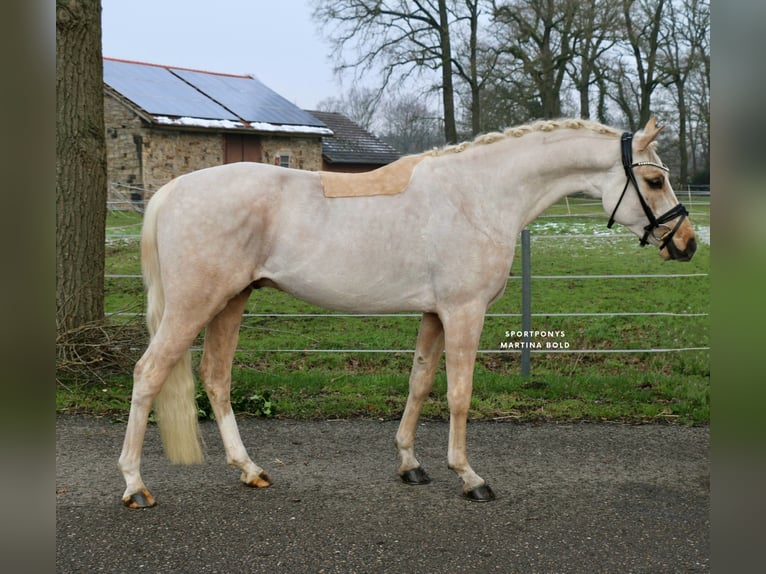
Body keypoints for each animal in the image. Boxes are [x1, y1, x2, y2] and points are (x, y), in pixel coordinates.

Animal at [118, 117, 696, 508]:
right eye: (653, 181)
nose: (687, 243)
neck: (479, 195)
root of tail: (171, 192)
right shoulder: (464, 312)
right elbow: (460, 394)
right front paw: (469, 477)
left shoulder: (434, 315)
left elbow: (419, 383)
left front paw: (411, 464)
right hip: (195, 305)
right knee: (149, 373)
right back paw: (135, 485)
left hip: (231, 302)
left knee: (216, 377)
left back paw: (249, 469)